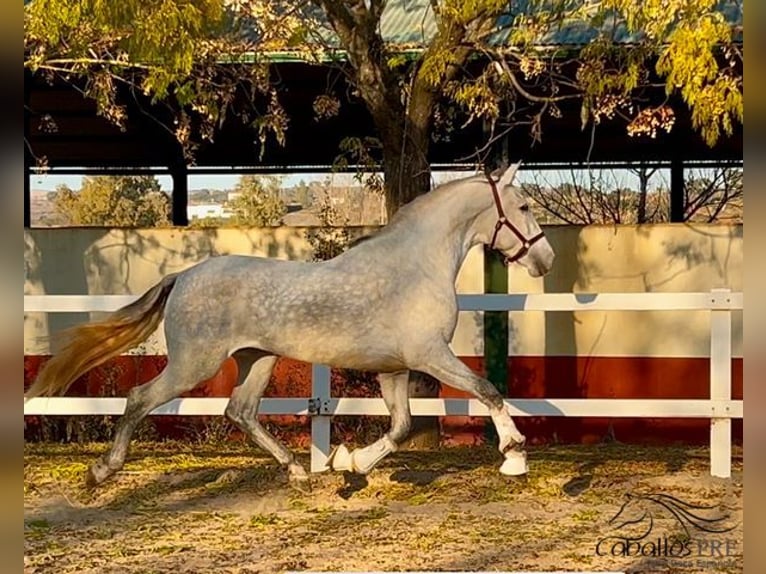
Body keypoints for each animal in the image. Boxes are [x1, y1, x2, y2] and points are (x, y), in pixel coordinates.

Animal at [28, 163, 560, 490]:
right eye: (525, 207)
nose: (546, 260)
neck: (416, 265)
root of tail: (184, 276)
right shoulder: (431, 356)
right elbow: (487, 390)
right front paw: (515, 456)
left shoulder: (395, 368)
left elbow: (402, 427)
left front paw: (348, 464)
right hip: (194, 365)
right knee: (140, 398)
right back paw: (101, 471)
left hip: (257, 360)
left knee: (239, 411)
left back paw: (298, 473)